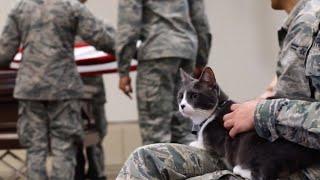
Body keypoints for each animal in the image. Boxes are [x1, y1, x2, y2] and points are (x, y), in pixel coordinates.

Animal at [178, 67, 320, 180]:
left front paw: (195, 143)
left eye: (194, 96)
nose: (182, 105)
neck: (214, 111)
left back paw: (240, 169)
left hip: (253, 141)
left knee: (264, 172)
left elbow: (207, 144)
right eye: (180, 96)